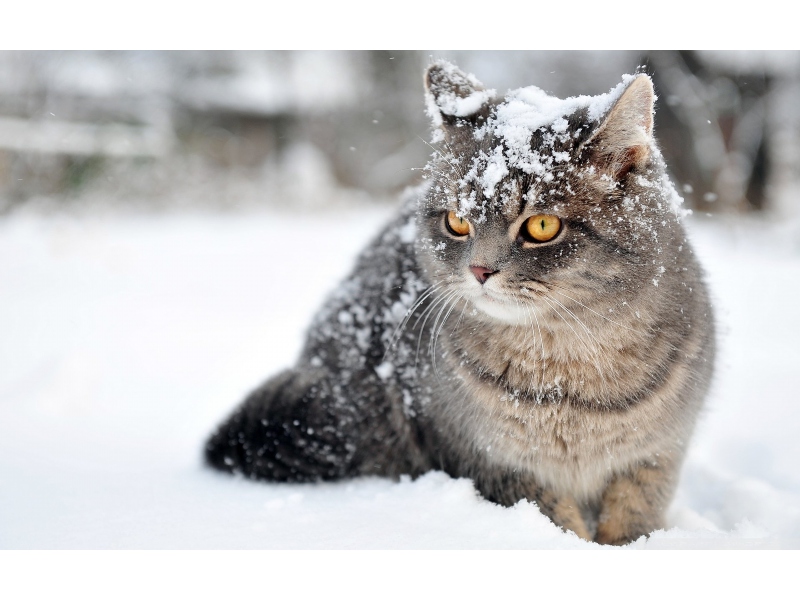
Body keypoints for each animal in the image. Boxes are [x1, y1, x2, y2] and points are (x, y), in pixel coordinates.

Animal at [205, 59, 712, 544]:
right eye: (457, 222)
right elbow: (557, 521)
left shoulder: (656, 457)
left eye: (542, 226)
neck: (566, 377)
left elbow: (632, 520)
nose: (480, 271)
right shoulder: (492, 462)